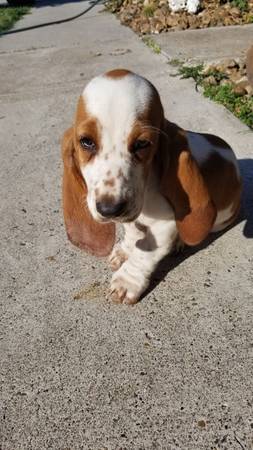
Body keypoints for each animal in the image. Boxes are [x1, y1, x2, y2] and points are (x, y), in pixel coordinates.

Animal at [61, 68, 241, 304]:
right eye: (86, 142)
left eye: (142, 144)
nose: (110, 209)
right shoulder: (130, 217)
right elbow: (131, 233)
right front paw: (124, 250)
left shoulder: (165, 225)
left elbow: (145, 252)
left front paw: (127, 281)